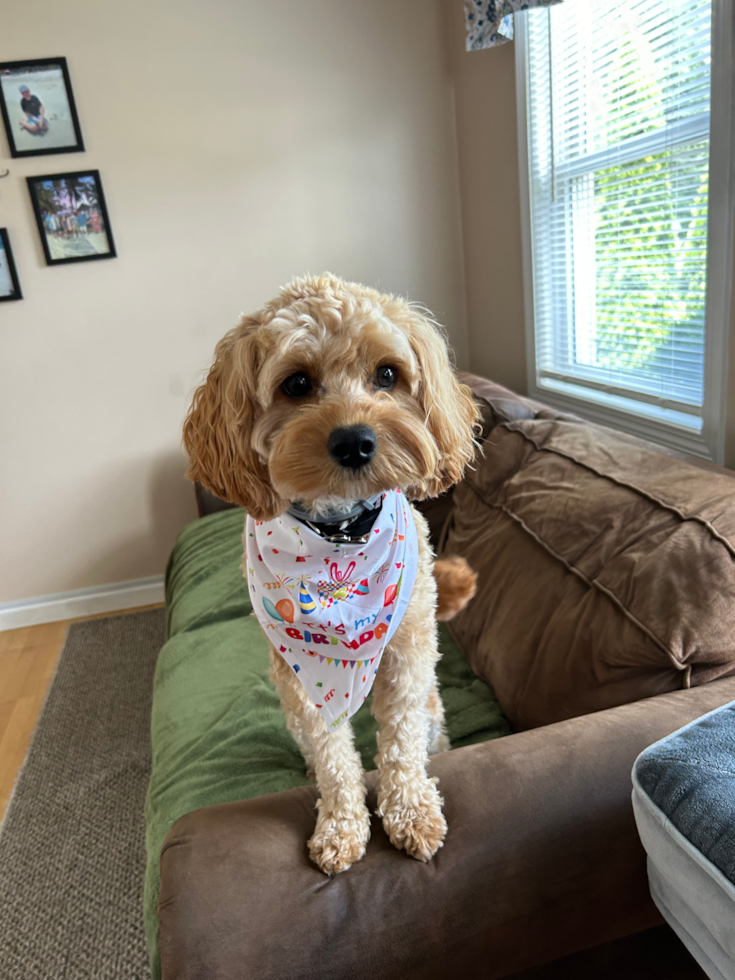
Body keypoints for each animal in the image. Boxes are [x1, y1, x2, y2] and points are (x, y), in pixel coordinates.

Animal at [185, 274, 478, 872]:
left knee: (426, 728)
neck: (341, 535)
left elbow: (401, 740)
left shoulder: (408, 651)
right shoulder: (300, 679)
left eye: (387, 374)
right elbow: (333, 759)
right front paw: (342, 825)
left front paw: (410, 810)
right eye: (296, 383)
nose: (354, 441)